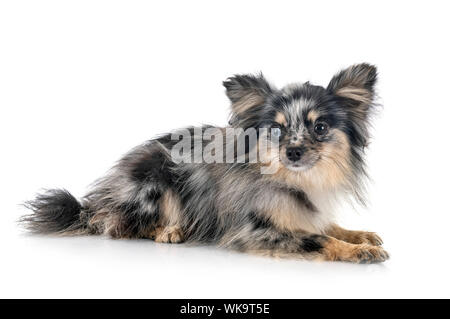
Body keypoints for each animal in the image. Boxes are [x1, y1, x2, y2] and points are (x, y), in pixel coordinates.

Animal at [21, 63, 388, 264]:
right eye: (277, 129)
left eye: (320, 127)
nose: (294, 152)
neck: (295, 180)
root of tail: (98, 201)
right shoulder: (256, 231)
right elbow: (318, 239)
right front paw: (358, 251)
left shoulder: (306, 213)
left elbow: (328, 227)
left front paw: (360, 236)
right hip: (156, 180)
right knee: (118, 226)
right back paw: (169, 231)